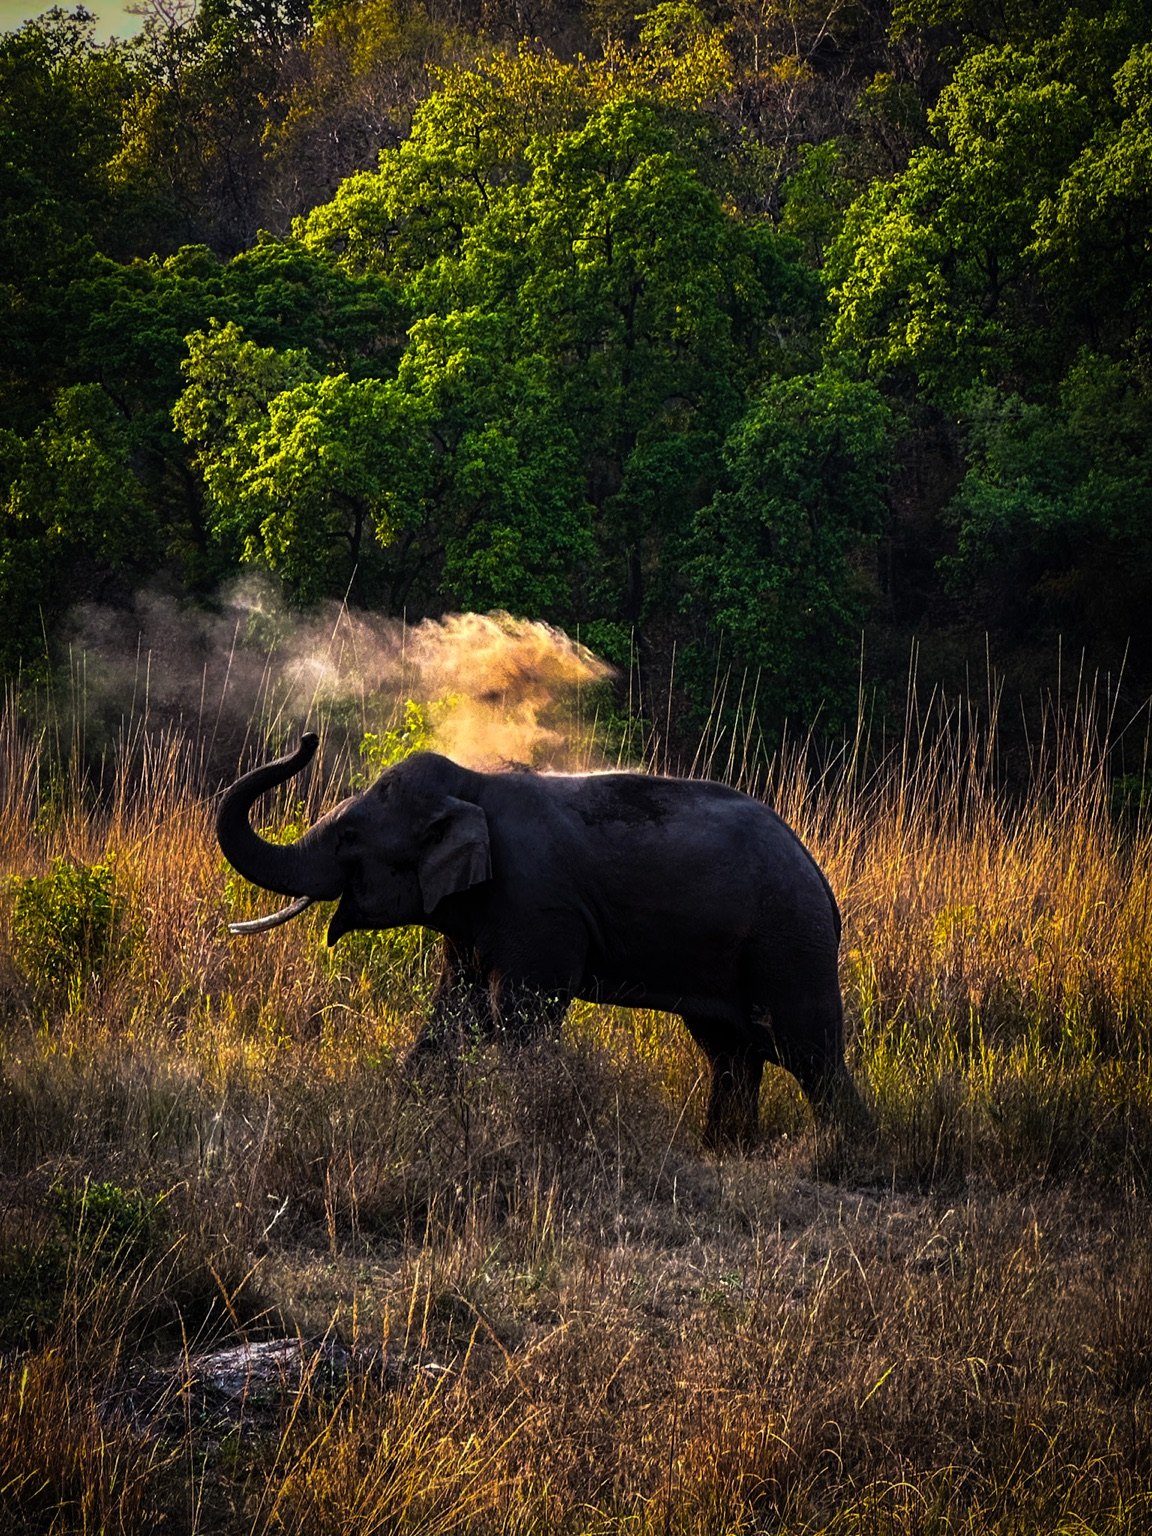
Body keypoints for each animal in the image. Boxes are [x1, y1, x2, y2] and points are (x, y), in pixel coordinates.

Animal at [216, 734, 867, 1146]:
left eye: (349, 836)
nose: (308, 737)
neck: (472, 785)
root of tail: (820, 878)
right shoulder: (474, 914)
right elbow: (453, 1013)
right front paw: (401, 1123)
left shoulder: (538, 906)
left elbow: (516, 1017)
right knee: (729, 1050)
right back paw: (725, 1151)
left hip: (788, 940)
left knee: (807, 1049)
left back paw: (847, 1157)